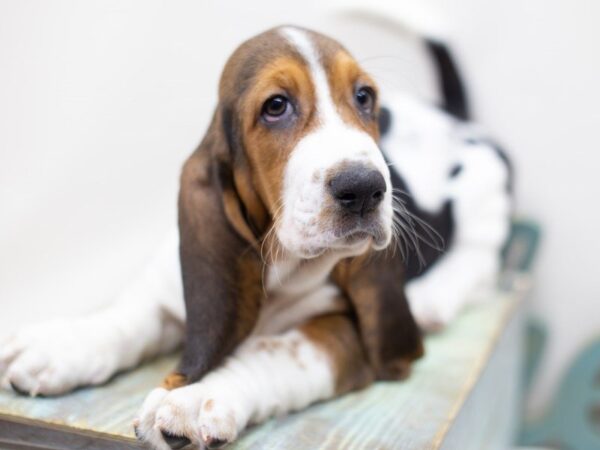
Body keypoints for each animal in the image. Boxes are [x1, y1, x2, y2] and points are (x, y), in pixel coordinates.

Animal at [0, 23, 510, 450]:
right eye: (276, 106)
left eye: (364, 97)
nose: (366, 187)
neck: (279, 266)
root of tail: (452, 115)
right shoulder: (177, 287)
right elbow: (129, 317)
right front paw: (57, 348)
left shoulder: (345, 332)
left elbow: (277, 350)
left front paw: (198, 396)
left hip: (484, 190)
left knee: (480, 257)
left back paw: (430, 301)